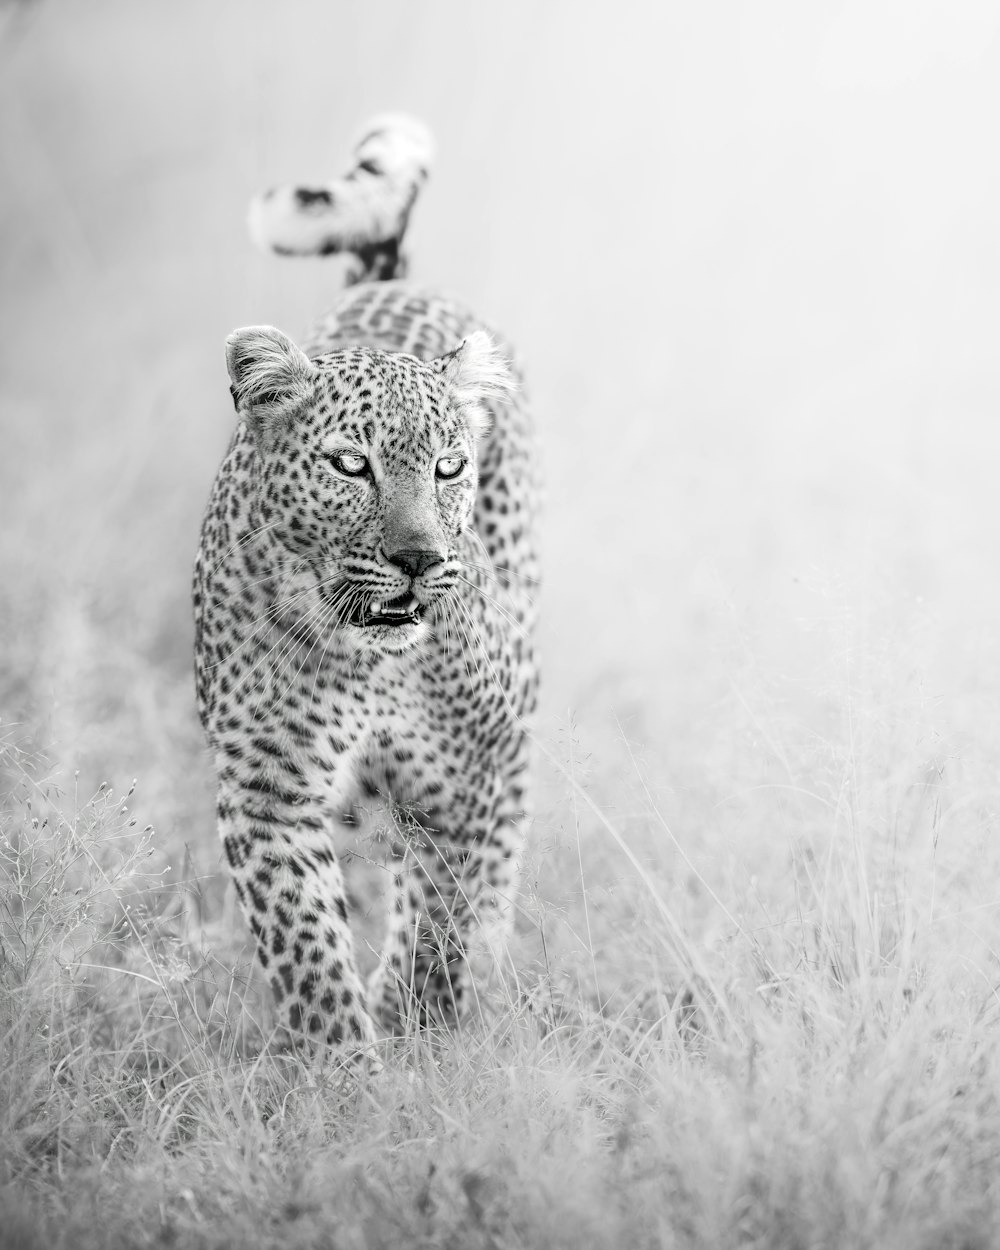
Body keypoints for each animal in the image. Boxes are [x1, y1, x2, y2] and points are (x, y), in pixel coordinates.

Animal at [193, 117, 540, 1055]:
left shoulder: (462, 769)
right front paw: (346, 1068)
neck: (368, 660)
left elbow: (445, 910)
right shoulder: (268, 788)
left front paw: (421, 1021)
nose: (418, 557)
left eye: (448, 467)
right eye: (352, 465)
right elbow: (307, 946)